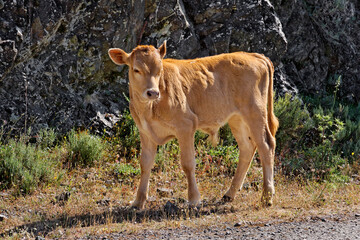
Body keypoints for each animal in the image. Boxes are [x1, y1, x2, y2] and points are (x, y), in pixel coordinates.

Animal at [107, 42, 278, 209]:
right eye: (136, 69)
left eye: (159, 70)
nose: (153, 92)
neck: (149, 109)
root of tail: (254, 55)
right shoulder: (145, 132)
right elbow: (145, 164)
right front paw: (138, 201)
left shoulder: (186, 126)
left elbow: (188, 163)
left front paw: (194, 199)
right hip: (237, 118)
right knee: (247, 148)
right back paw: (229, 194)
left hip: (255, 111)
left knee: (266, 145)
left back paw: (266, 197)